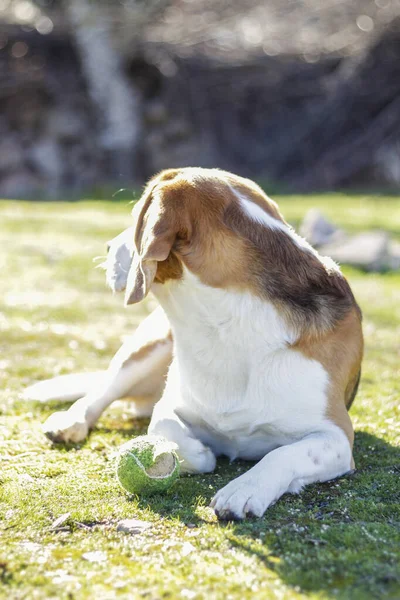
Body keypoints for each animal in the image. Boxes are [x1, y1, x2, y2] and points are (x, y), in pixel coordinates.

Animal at [25, 168, 362, 520]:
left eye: (135, 219)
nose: (106, 247)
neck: (227, 324)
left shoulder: (337, 436)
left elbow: (284, 454)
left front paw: (245, 488)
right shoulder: (171, 404)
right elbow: (163, 425)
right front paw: (199, 454)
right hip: (148, 347)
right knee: (101, 393)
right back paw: (71, 421)